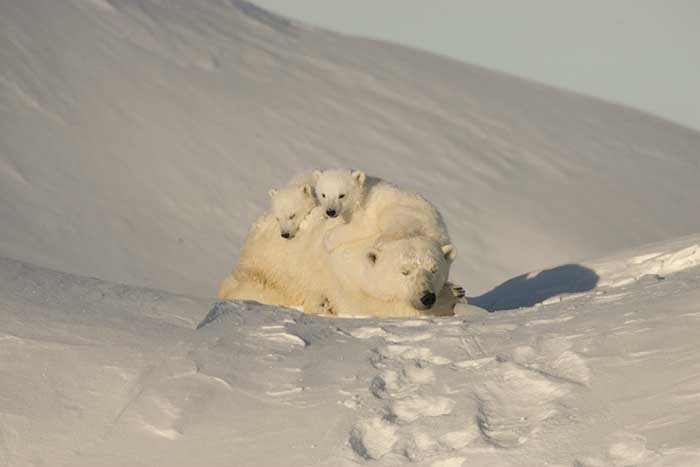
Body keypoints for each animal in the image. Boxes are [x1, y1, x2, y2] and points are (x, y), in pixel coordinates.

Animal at [219, 169, 460, 318]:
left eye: (434, 269)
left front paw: (455, 291)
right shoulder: (347, 277)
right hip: (266, 273)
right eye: (404, 271)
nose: (426, 297)